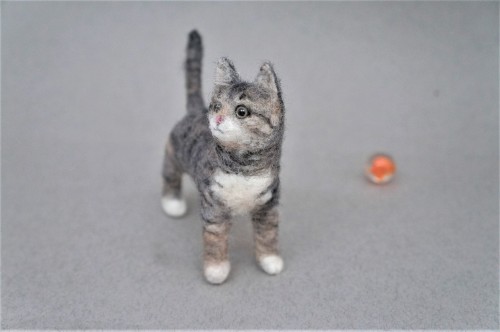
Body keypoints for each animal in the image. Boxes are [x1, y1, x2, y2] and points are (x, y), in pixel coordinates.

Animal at [161, 31, 284, 284]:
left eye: (241, 111)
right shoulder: (214, 206)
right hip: (173, 152)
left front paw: (270, 260)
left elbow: (268, 234)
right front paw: (216, 270)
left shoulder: (269, 204)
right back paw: (172, 203)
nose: (217, 119)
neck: (244, 168)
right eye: (217, 106)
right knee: (170, 175)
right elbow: (215, 240)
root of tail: (194, 111)